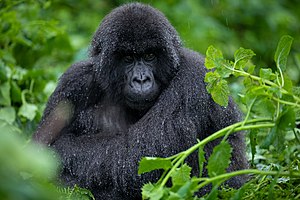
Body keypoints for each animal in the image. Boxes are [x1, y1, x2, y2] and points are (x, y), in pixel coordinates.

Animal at [33, 2, 248, 199]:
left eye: (150, 55)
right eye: (128, 58)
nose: (141, 79)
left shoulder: (194, 78)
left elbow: (137, 156)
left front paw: (61, 151)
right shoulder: (73, 83)